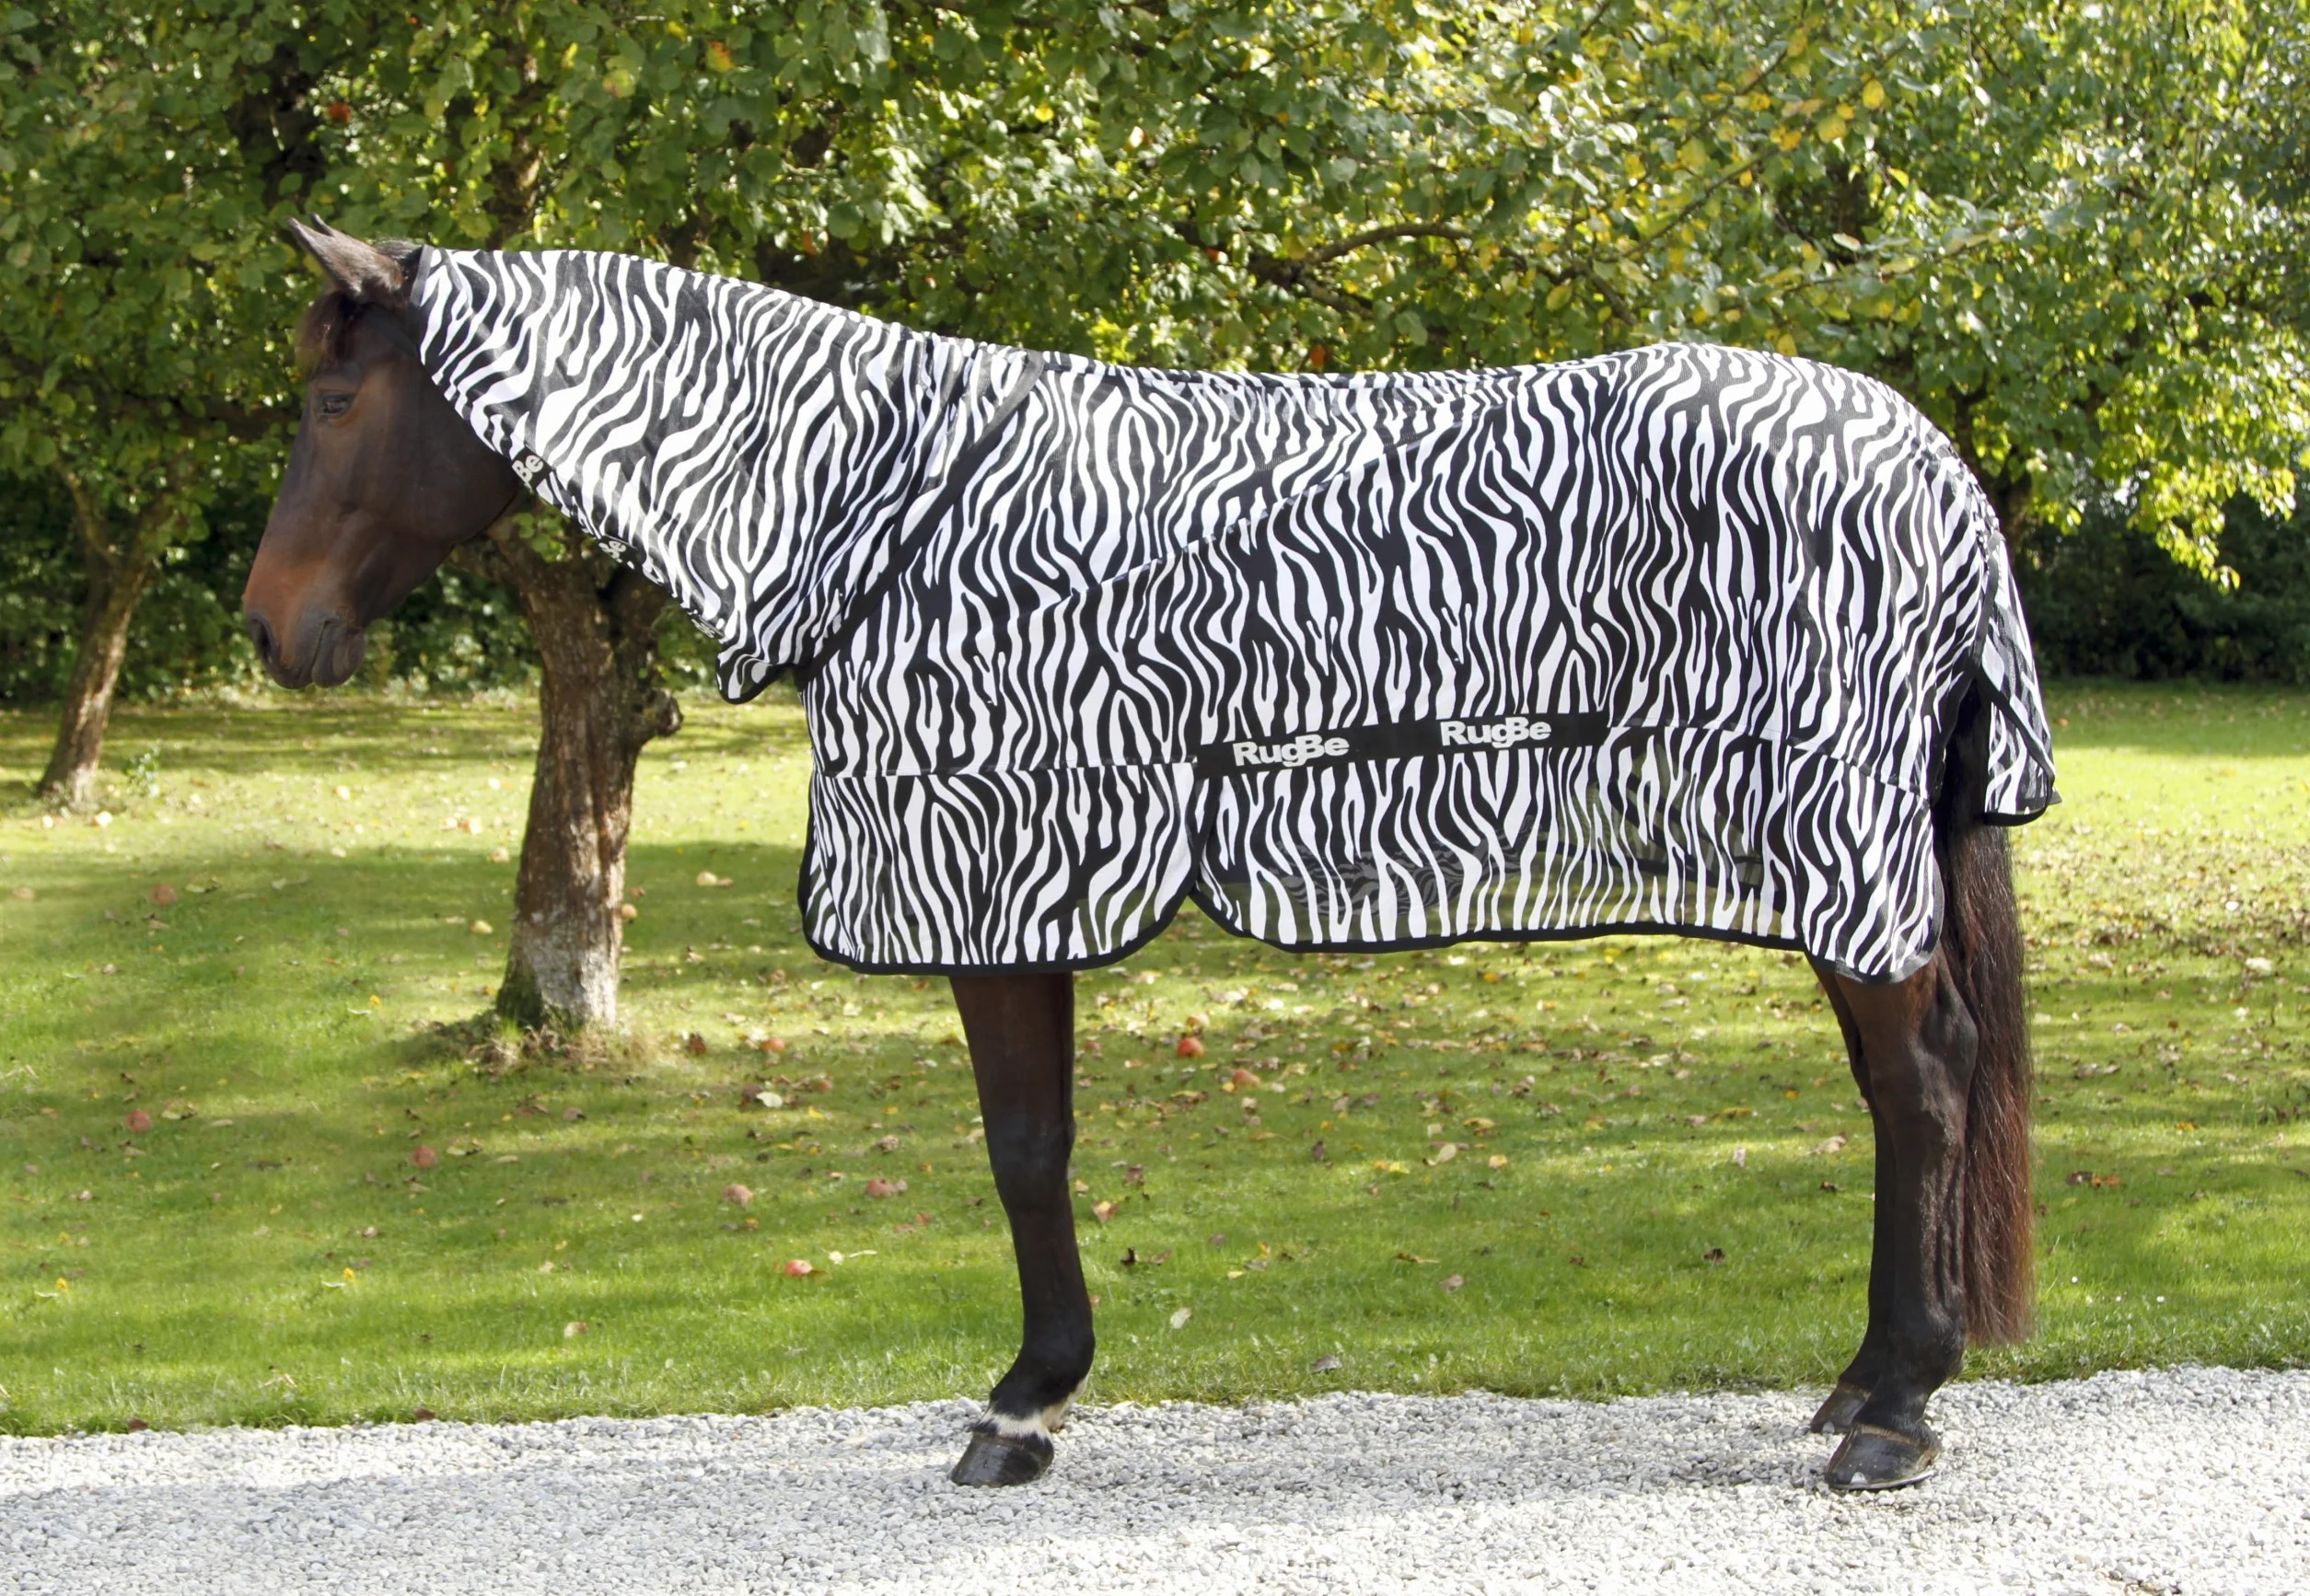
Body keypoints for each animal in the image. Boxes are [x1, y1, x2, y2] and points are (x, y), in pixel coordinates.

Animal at [244, 219, 2052, 1492]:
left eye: (335, 400)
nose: (273, 630)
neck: (882, 507)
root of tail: (1930, 464)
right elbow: (1035, 1143)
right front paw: (1038, 1388)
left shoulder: (999, 877)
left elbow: (1023, 1145)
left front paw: (1021, 1403)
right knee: (1910, 1088)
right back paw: (1859, 1378)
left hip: (1842, 868)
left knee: (1921, 1088)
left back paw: (1894, 1410)